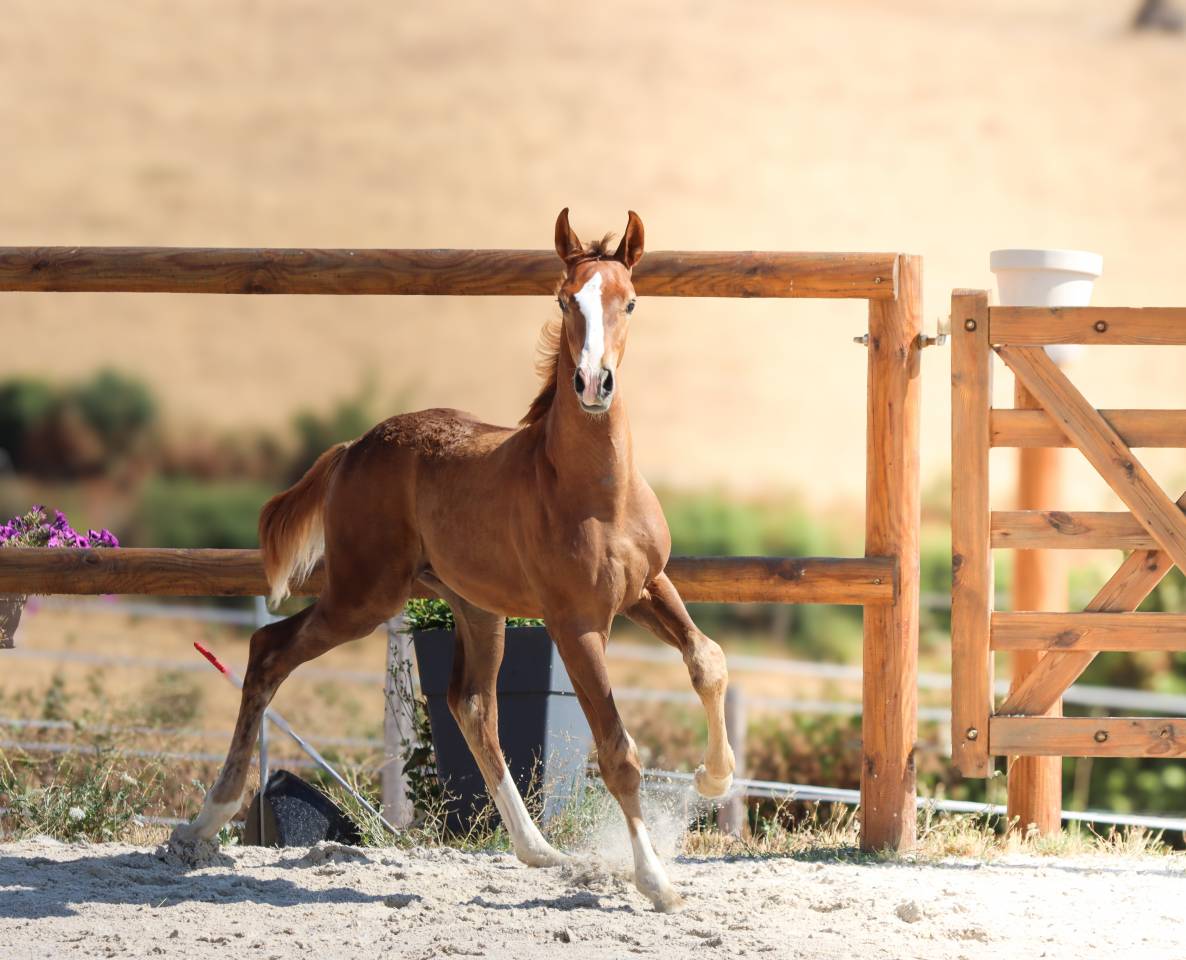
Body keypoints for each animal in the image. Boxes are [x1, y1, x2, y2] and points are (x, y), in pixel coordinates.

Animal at [172, 209, 735, 912]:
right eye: (563, 299)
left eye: (629, 301)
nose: (593, 384)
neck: (594, 490)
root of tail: (355, 446)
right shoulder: (576, 623)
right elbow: (617, 749)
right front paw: (656, 881)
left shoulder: (648, 587)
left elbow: (708, 660)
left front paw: (712, 780)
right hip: (365, 595)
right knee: (268, 651)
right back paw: (205, 821)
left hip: (475, 608)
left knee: (470, 704)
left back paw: (540, 850)